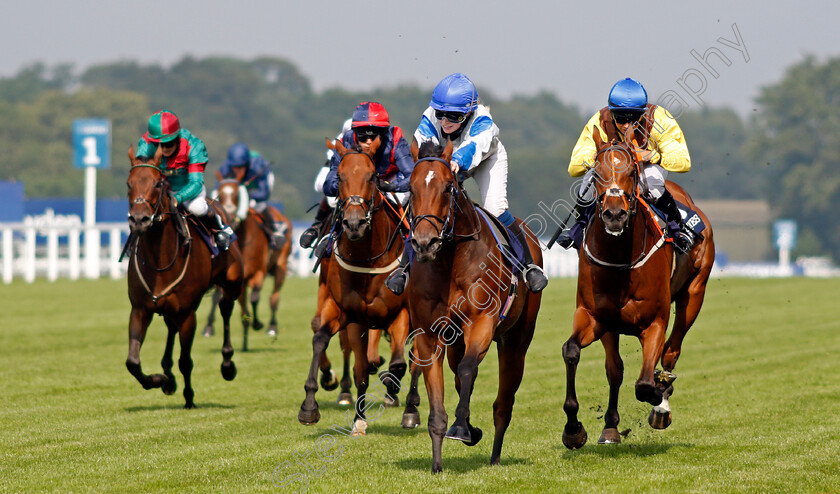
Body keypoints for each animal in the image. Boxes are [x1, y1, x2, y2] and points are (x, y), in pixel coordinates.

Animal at [124, 147, 243, 410]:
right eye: (129, 184)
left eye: (158, 183)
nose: (139, 220)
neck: (160, 258)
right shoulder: (140, 309)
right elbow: (132, 362)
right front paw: (159, 379)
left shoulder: (188, 313)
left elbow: (186, 361)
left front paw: (189, 397)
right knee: (171, 328)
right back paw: (167, 375)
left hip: (232, 282)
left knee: (225, 308)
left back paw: (227, 363)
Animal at [203, 178, 292, 352]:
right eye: (220, 195)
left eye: (237, 195)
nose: (228, 216)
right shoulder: (237, 280)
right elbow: (238, 303)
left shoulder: (259, 271)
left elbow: (255, 297)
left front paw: (257, 323)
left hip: (281, 266)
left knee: (274, 297)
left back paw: (272, 327)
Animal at [298, 137, 424, 434]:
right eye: (340, 177)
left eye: (372, 177)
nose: (354, 223)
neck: (369, 258)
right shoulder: (350, 313)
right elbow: (332, 347)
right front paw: (314, 407)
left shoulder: (401, 313)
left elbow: (398, 364)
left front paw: (392, 386)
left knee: (414, 360)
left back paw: (410, 408)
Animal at [408, 141, 540, 472]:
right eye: (411, 189)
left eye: (447, 187)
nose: (425, 243)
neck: (451, 260)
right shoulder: (429, 335)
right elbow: (439, 402)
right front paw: (437, 464)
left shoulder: (481, 322)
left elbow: (469, 368)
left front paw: (461, 428)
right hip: (456, 342)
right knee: (459, 373)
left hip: (517, 340)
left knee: (503, 402)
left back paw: (494, 455)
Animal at [560, 127, 720, 448]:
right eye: (596, 173)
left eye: (632, 172)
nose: (614, 214)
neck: (620, 259)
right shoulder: (595, 317)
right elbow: (576, 352)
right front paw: (576, 429)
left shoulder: (655, 321)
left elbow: (645, 384)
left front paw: (659, 394)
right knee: (616, 368)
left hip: (694, 293)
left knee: (671, 351)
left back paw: (662, 402)